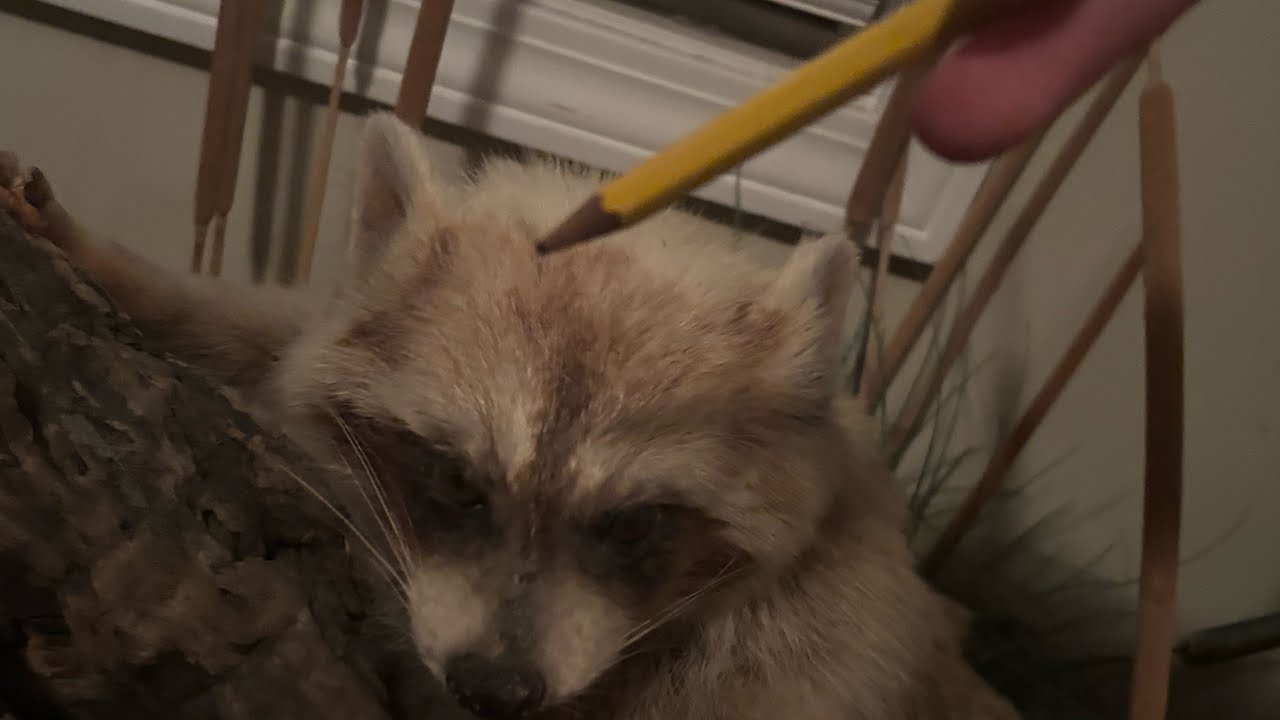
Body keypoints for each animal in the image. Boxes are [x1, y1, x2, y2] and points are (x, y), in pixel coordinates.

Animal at [0, 113, 1017, 720]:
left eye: (636, 523)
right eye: (454, 479)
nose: (494, 689)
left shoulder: (793, 662)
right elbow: (272, 329)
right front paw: (123, 269)